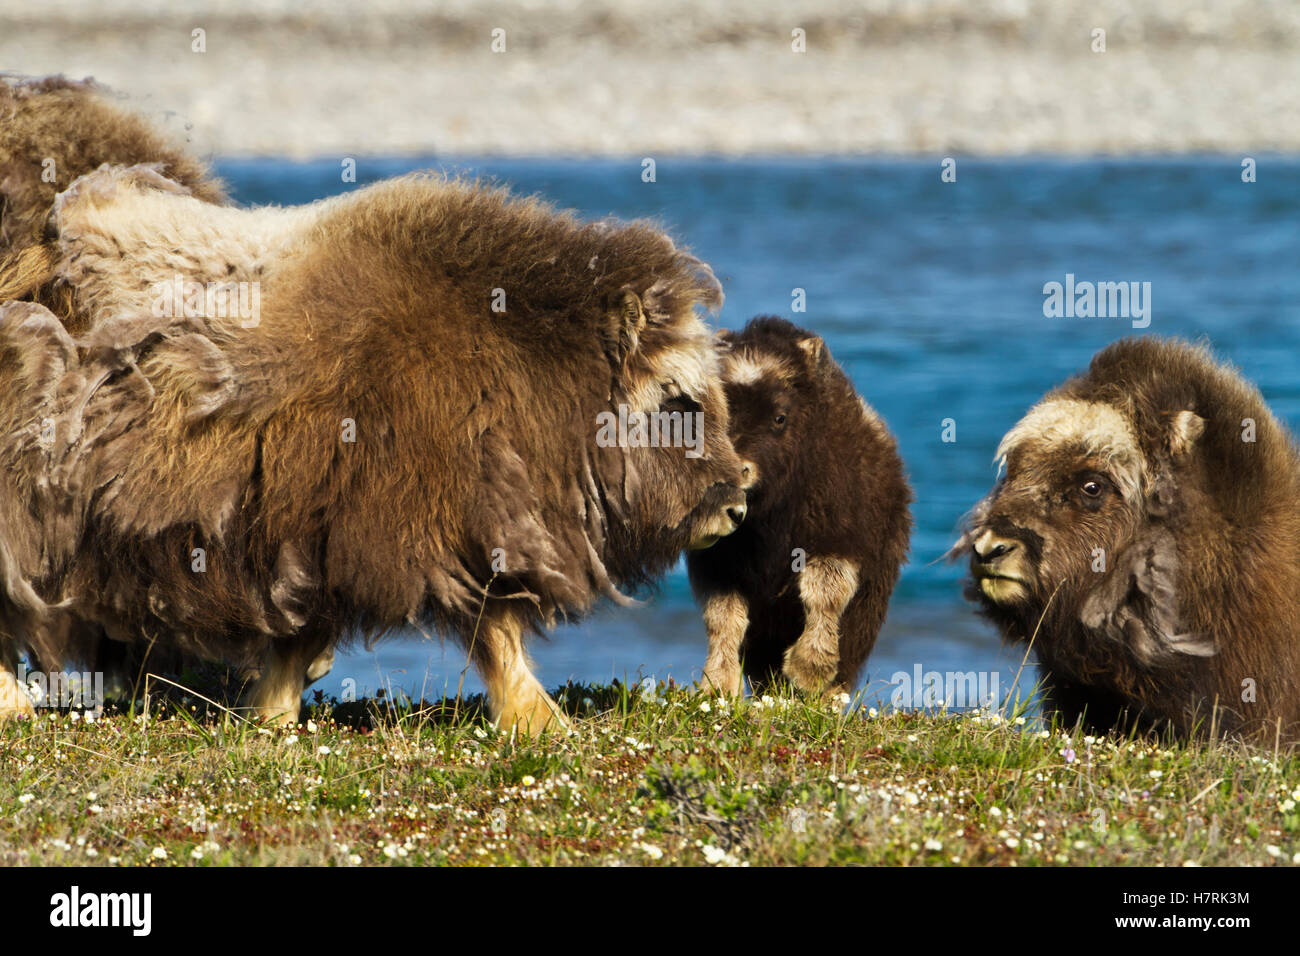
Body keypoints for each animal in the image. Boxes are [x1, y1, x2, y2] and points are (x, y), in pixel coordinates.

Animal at [0, 162, 748, 733]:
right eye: (678, 403)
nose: (737, 502)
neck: (524, 356)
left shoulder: (321, 534)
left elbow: (306, 635)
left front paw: (271, 716)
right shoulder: (434, 528)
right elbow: (494, 629)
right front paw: (543, 723)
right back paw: (16, 710)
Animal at [686, 317, 909, 691]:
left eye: (780, 417)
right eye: (720, 411)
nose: (735, 472)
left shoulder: (836, 539)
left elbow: (825, 593)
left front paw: (809, 669)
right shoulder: (717, 560)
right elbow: (723, 617)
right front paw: (717, 684)